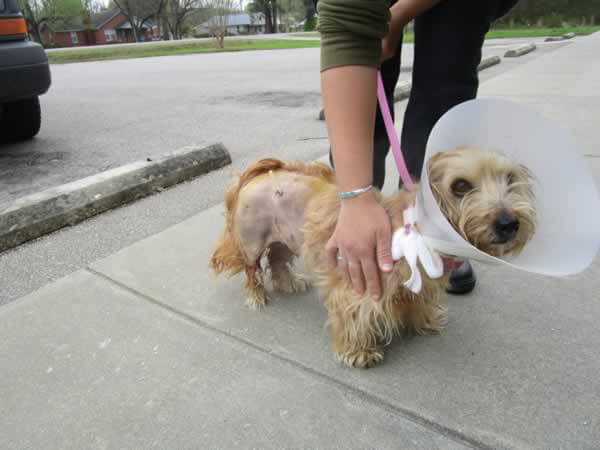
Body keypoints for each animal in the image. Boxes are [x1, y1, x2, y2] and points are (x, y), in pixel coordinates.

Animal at [209, 149, 536, 368]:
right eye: (461, 186)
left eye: (510, 178)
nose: (509, 224)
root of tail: (263, 172)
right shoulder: (356, 286)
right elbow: (355, 318)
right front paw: (358, 352)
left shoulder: (417, 288)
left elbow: (418, 302)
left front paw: (423, 322)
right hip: (252, 243)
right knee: (252, 271)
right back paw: (256, 297)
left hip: (286, 239)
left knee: (277, 261)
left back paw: (289, 284)